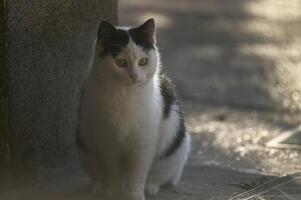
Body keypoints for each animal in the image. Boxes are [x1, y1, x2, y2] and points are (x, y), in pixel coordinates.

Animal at [77, 18, 190, 200]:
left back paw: (150, 187)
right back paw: (100, 187)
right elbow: (113, 170)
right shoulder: (108, 141)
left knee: (160, 176)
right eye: (120, 62)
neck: (125, 95)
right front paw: (114, 192)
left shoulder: (142, 142)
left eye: (143, 62)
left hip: (176, 150)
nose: (134, 76)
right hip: (85, 149)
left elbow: (137, 172)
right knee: (99, 174)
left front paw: (134, 194)